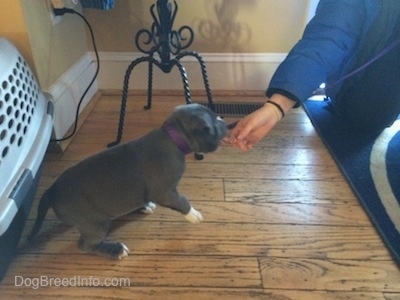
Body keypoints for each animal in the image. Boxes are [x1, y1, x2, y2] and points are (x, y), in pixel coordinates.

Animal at [27, 104, 227, 258]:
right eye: (215, 122)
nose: (225, 122)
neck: (173, 138)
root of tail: (52, 190)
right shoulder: (166, 192)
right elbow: (182, 201)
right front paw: (193, 214)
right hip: (93, 224)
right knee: (85, 245)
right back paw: (115, 250)